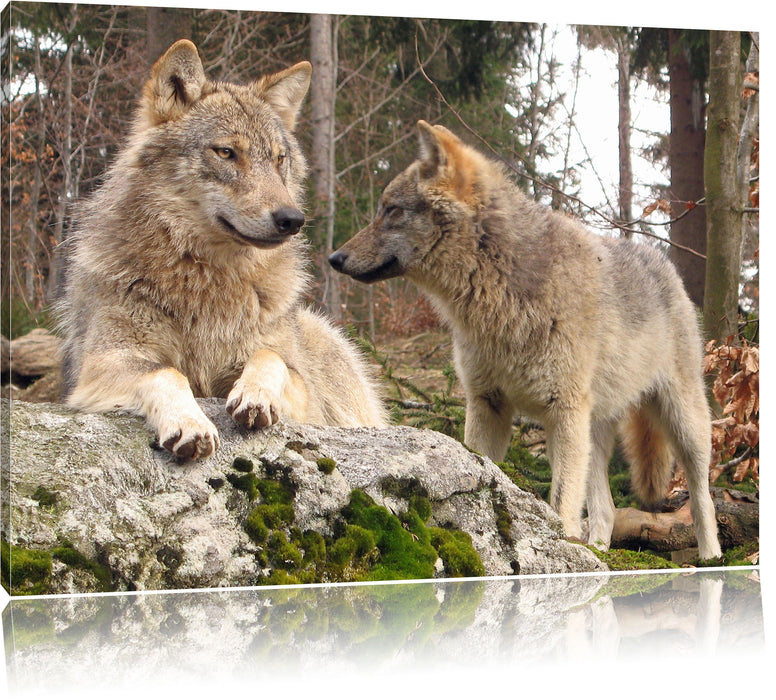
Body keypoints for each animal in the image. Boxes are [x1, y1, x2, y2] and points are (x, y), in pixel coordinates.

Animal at [55, 39, 387, 461]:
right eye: (227, 152)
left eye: (279, 159)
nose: (292, 219)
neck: (207, 276)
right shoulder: (102, 363)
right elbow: (167, 372)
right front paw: (189, 422)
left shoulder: (302, 390)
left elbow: (270, 358)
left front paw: (256, 394)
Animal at [330, 120, 722, 559]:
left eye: (392, 210)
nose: (334, 258)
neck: (498, 297)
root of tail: (665, 265)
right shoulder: (488, 404)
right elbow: (482, 469)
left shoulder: (563, 412)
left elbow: (561, 502)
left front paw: (560, 548)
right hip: (593, 435)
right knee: (605, 510)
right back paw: (598, 553)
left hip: (682, 425)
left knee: (702, 498)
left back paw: (711, 558)